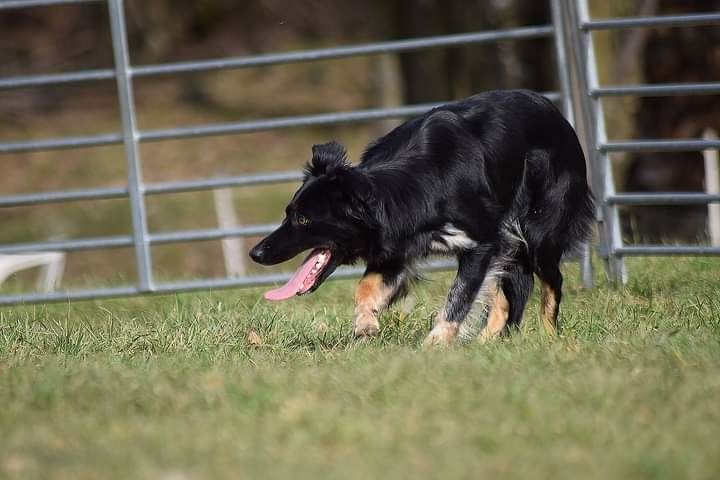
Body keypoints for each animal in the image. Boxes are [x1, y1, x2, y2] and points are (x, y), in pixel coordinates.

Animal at [250, 90, 592, 344]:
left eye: (303, 220)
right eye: (289, 213)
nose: (256, 253)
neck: (411, 189)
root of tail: (559, 116)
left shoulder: (483, 241)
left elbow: (459, 296)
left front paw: (435, 343)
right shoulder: (396, 248)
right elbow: (365, 287)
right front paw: (366, 325)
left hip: (539, 231)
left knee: (551, 281)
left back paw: (548, 339)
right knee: (505, 293)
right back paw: (488, 342)